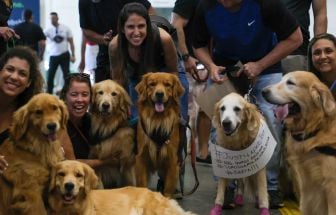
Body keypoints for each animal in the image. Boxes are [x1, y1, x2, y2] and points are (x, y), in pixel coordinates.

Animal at [262, 71, 336, 215]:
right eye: (281, 80)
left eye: (290, 83)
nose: (263, 91)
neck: (316, 128)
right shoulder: (307, 185)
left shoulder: (331, 187)